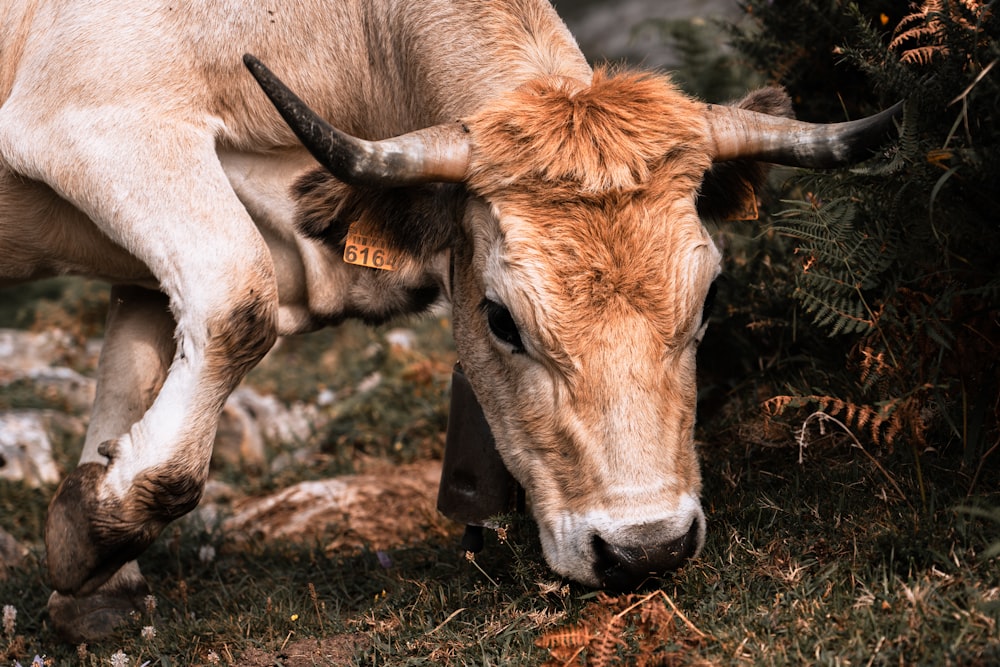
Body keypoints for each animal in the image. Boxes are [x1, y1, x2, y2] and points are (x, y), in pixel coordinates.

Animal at [0, 0, 900, 640]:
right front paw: (95, 532)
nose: (646, 547)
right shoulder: (96, 116)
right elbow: (236, 299)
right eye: (500, 319)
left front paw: (95, 573)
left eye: (709, 298)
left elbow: (135, 369)